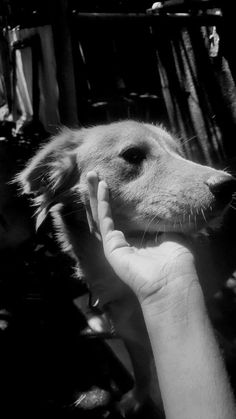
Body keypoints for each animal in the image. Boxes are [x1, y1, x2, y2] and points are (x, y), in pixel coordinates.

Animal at [17, 120, 236, 414]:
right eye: (132, 155)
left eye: (179, 153)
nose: (228, 185)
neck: (118, 281)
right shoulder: (131, 338)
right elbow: (141, 372)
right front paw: (136, 398)